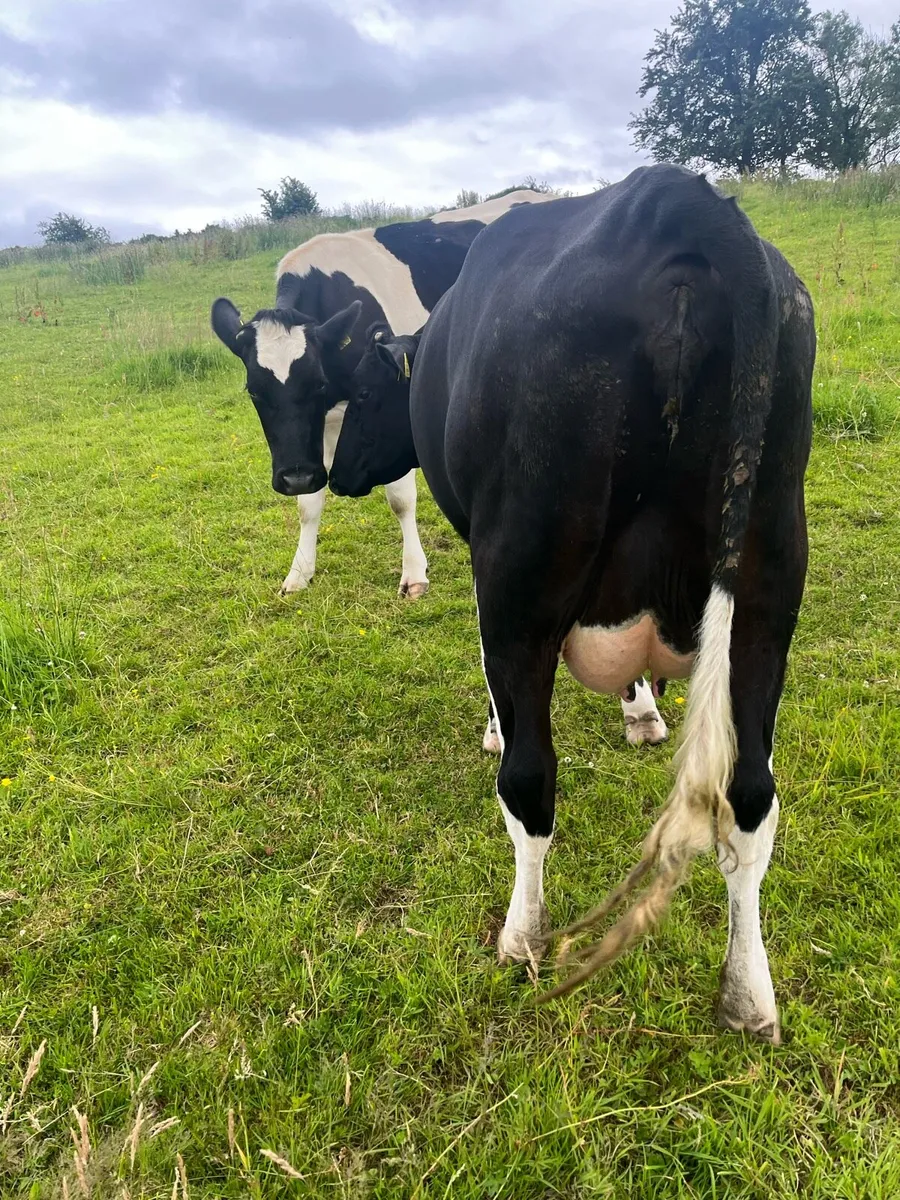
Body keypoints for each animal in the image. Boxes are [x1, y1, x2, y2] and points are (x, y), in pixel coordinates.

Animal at [211, 189, 669, 748]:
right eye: (255, 391)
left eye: (315, 384)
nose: (292, 474)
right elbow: (308, 507)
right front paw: (299, 572)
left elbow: (399, 498)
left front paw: (413, 576)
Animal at [329, 165, 815, 1041]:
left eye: (364, 391)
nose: (336, 471)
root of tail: (681, 205)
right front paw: (643, 710)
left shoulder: (490, 568)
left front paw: (496, 725)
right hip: (768, 587)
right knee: (751, 795)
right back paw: (749, 994)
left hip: (523, 570)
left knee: (531, 781)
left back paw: (521, 937)